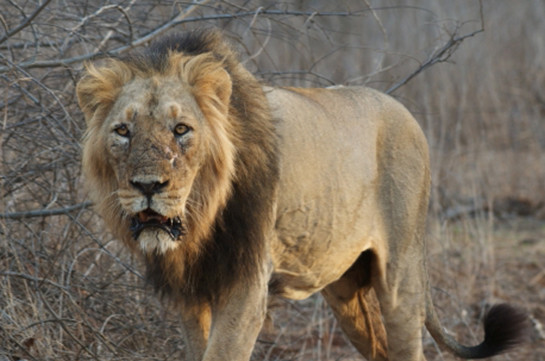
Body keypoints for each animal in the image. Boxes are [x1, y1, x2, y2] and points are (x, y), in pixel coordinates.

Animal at [76, 29, 528, 358]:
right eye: (123, 131)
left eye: (181, 129)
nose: (148, 186)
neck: (201, 221)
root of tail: (405, 111)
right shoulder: (192, 292)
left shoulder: (246, 285)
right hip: (345, 288)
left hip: (401, 275)